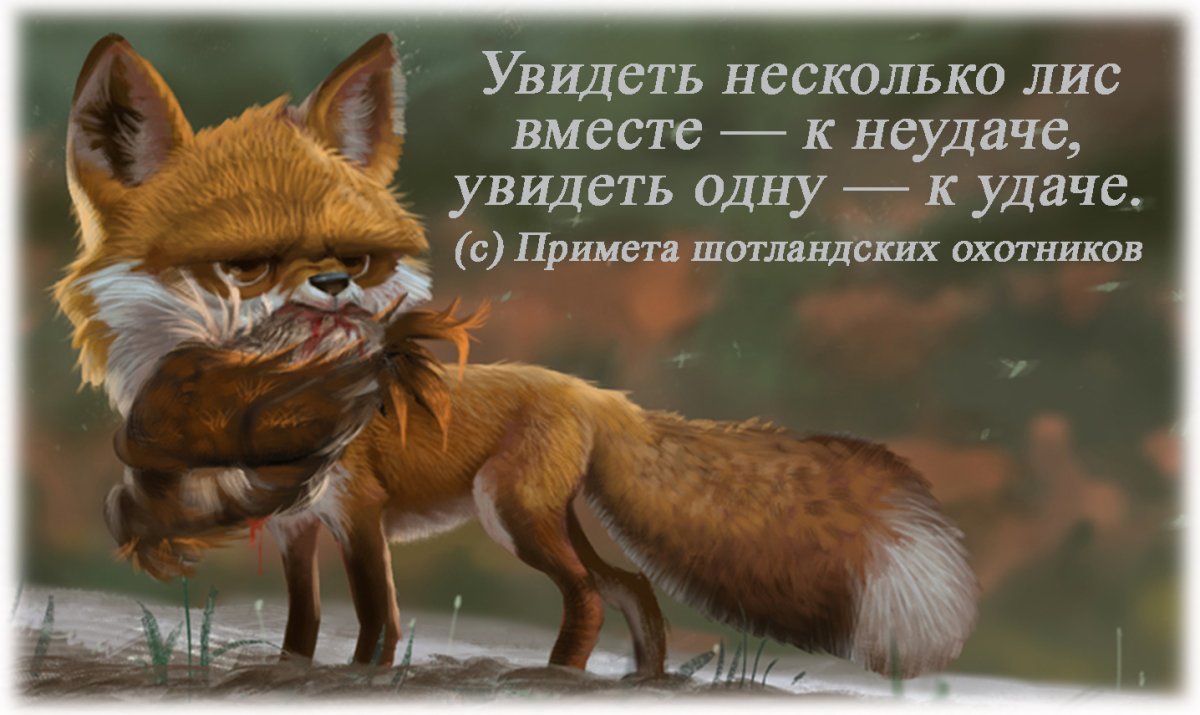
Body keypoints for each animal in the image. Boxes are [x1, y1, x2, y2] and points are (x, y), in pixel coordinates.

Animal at [54, 33, 978, 679]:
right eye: (247, 265)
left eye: (357, 257)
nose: (335, 284)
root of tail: (600, 393)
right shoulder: (296, 529)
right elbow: (302, 627)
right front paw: (289, 673)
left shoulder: (358, 513)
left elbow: (378, 623)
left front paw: (364, 676)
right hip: (541, 515)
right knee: (630, 584)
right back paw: (639, 680)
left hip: (515, 515)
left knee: (591, 592)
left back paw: (557, 676)